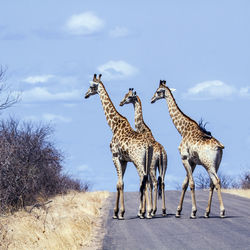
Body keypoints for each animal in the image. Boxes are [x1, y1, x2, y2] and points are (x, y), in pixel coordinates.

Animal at [85, 73, 153, 219]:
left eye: (91, 86)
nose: (86, 94)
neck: (114, 126)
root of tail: (147, 145)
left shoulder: (115, 156)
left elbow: (120, 183)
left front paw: (120, 213)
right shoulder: (124, 160)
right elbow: (119, 183)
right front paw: (116, 212)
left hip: (138, 160)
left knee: (144, 179)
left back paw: (145, 212)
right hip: (148, 160)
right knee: (148, 180)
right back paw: (148, 211)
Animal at [151, 80, 226, 219]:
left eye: (158, 91)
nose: (152, 99)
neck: (182, 130)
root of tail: (219, 146)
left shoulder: (184, 158)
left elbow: (191, 183)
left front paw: (193, 212)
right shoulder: (193, 162)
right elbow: (184, 183)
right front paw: (178, 211)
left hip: (208, 164)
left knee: (216, 181)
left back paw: (222, 211)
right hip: (216, 164)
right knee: (212, 183)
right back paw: (207, 212)